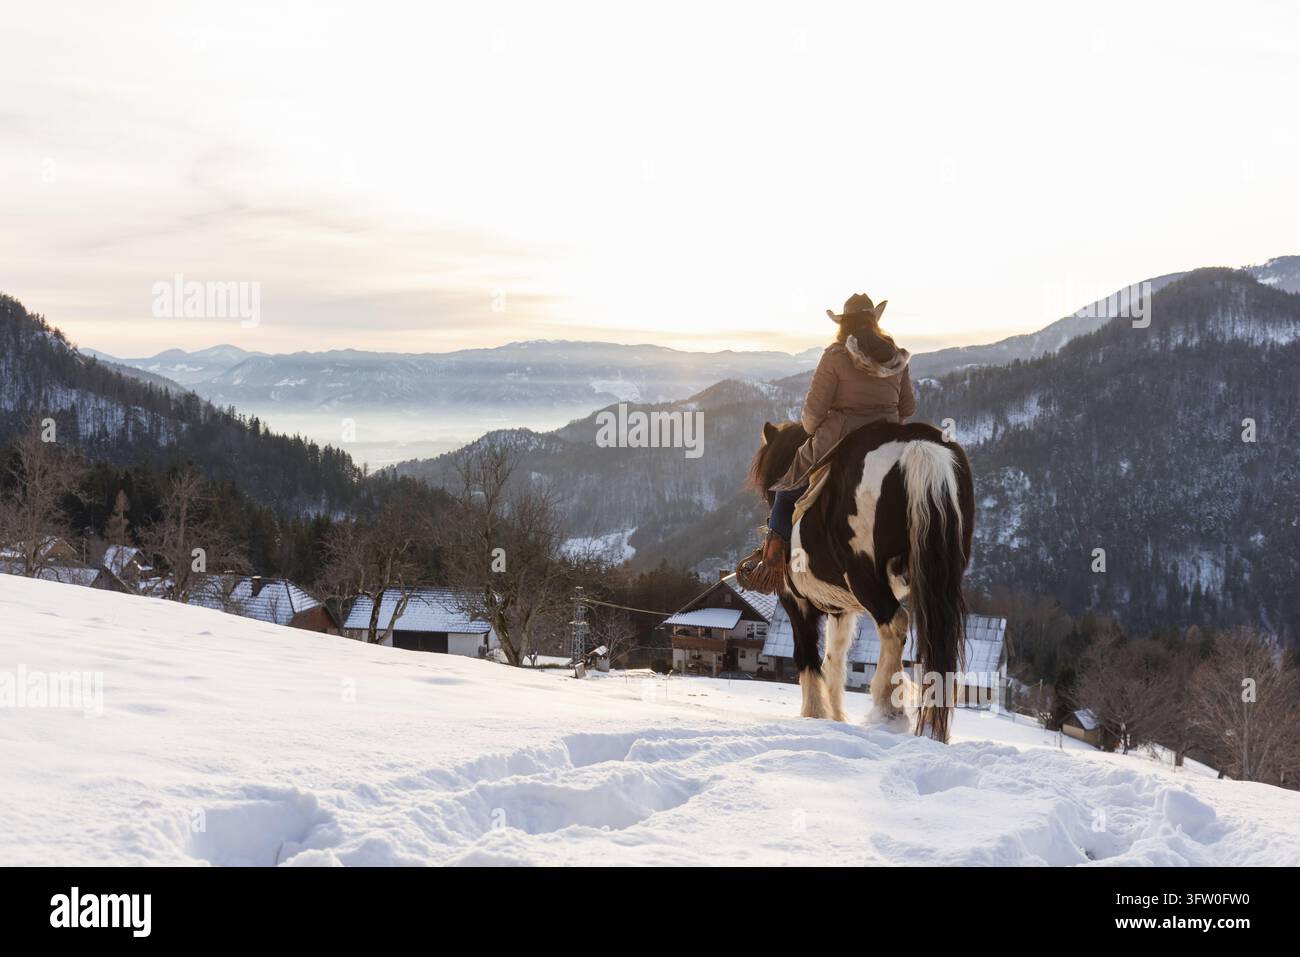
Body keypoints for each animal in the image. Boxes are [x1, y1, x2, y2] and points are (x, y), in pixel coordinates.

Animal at [742, 419, 975, 741]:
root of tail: (920, 446)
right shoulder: (841, 609)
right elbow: (835, 658)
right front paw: (835, 716)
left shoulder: (795, 601)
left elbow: (806, 656)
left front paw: (815, 712)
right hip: (939, 578)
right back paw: (930, 727)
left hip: (865, 577)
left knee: (895, 623)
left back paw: (889, 710)